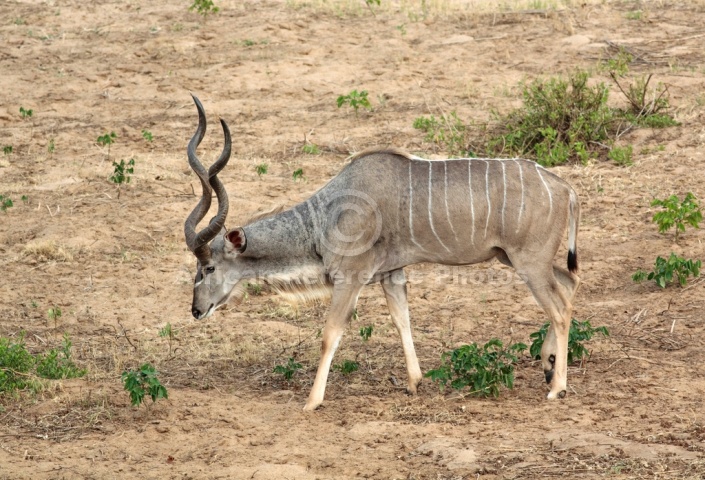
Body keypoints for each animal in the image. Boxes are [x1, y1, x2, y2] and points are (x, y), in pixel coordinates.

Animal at [184, 95, 580, 410]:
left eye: (209, 268)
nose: (196, 310)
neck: (323, 217)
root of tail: (566, 188)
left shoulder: (349, 278)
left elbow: (330, 333)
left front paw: (312, 401)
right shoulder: (391, 274)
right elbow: (402, 319)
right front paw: (414, 383)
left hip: (528, 261)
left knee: (560, 307)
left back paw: (557, 387)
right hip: (515, 257)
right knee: (569, 282)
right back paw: (548, 366)